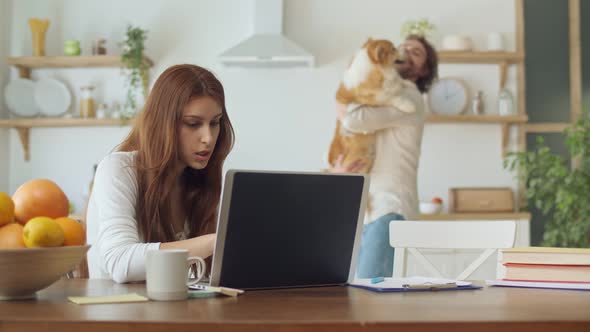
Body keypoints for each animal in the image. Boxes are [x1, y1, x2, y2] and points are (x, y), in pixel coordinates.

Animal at [328, 38, 416, 174]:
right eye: (393, 49)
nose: (406, 49)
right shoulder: (376, 99)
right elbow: (394, 98)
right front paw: (409, 105)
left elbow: (399, 82)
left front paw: (407, 84)